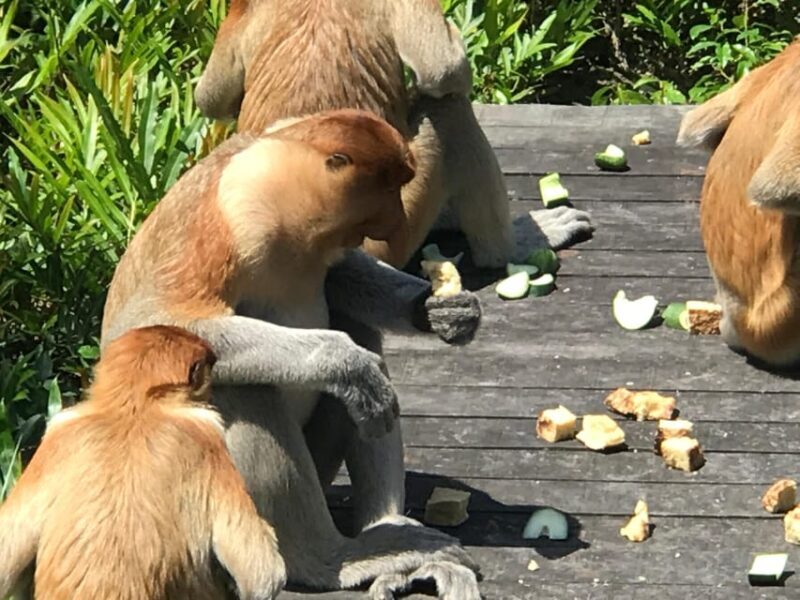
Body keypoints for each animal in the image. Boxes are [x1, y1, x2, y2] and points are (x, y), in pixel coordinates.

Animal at [101, 110, 481, 599]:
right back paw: (336, 560)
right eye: (387, 186)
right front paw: (347, 364)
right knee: (244, 391)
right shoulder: (222, 226)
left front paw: (441, 311)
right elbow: (142, 327)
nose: (396, 222)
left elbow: (340, 273)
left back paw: (391, 528)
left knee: (356, 326)